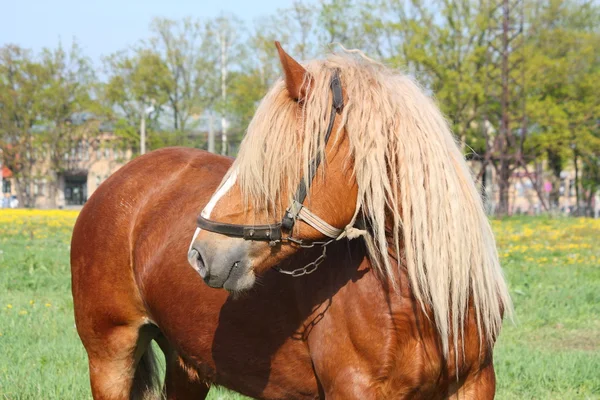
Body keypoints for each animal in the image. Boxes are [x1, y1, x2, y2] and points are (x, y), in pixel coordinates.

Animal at [70, 42, 510, 398]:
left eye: (270, 158)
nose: (199, 253)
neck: (420, 303)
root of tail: (118, 181)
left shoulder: (475, 385)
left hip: (186, 364)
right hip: (110, 354)